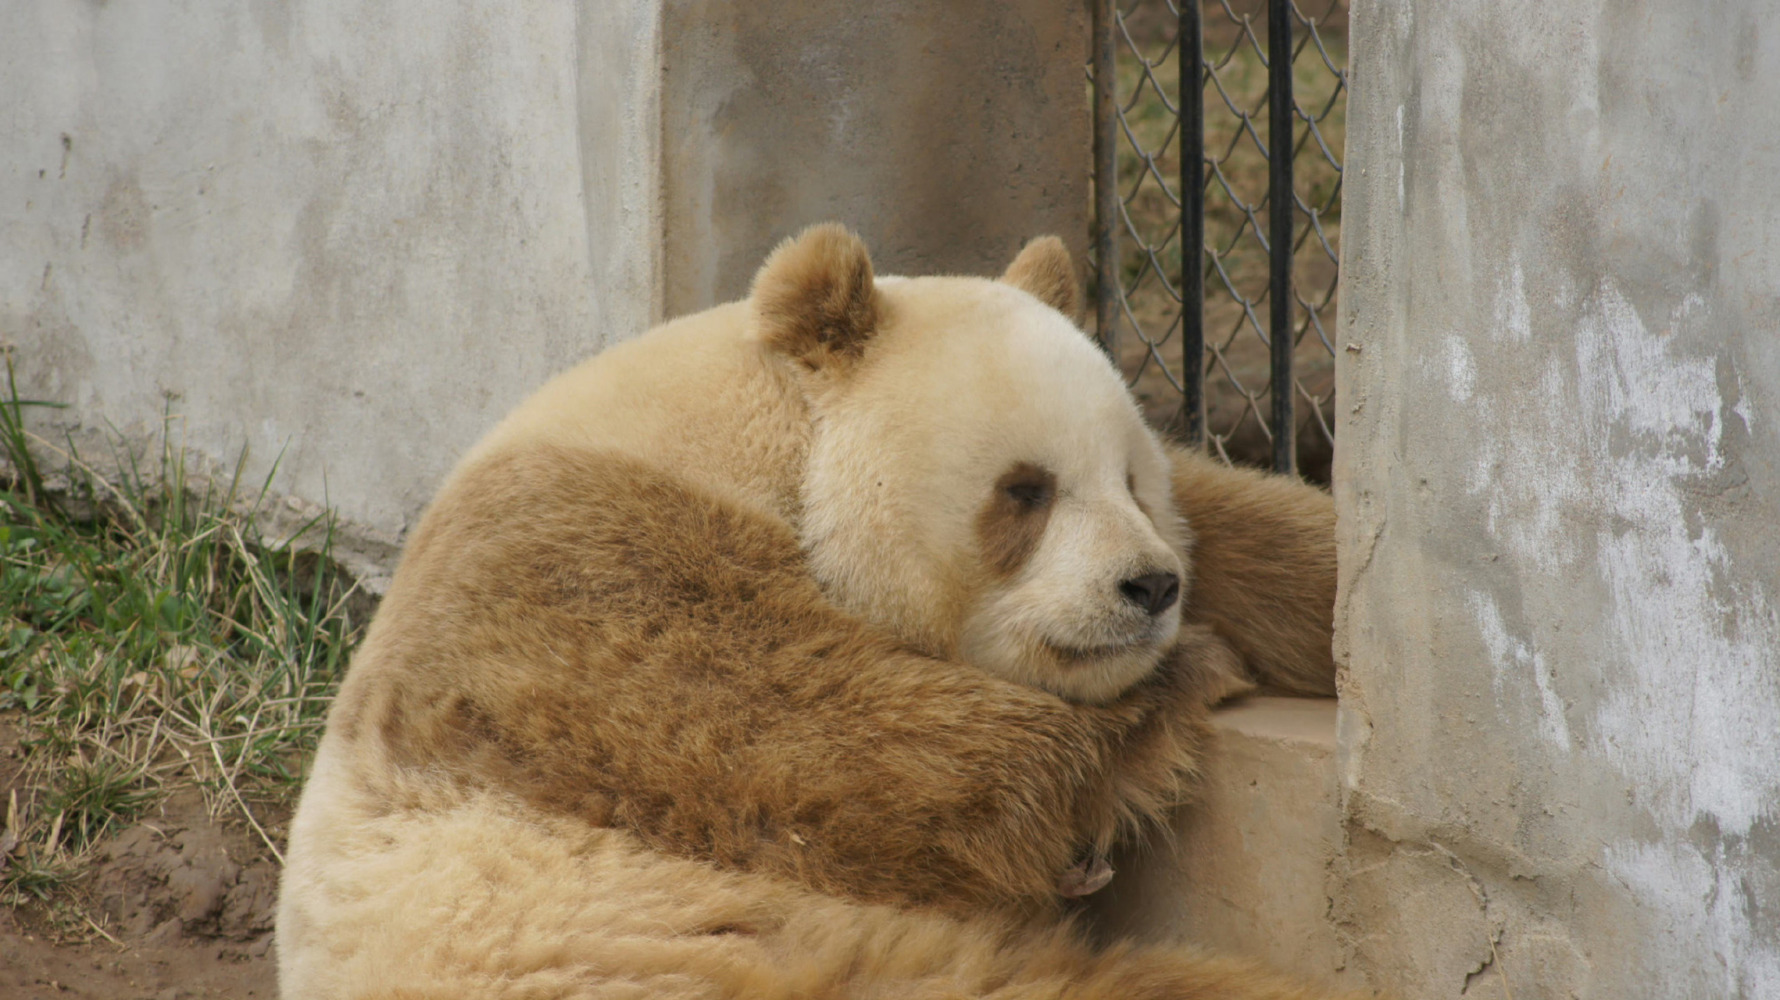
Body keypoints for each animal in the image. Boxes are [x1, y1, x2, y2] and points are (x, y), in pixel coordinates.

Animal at [275, 225, 1344, 999]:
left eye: (1131, 482)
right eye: (1025, 491)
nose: (1150, 587)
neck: (765, 429)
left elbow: (1246, 528)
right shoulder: (568, 581)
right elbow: (831, 748)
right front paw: (1183, 682)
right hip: (727, 958)